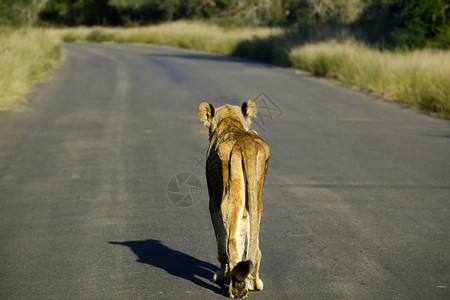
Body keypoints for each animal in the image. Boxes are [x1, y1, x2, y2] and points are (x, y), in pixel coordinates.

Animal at [198, 99, 268, 296]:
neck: (230, 122)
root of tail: (245, 141)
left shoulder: (213, 200)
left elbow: (222, 244)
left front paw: (222, 276)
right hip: (256, 192)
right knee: (254, 244)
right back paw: (253, 283)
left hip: (229, 195)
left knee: (231, 241)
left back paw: (236, 287)